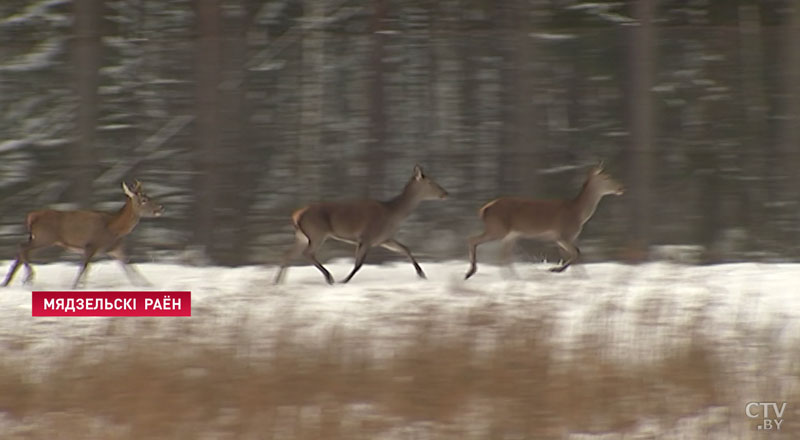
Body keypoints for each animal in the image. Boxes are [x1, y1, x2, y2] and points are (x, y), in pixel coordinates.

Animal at [1, 180, 164, 288]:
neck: (114, 227)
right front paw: (75, 286)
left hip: (39, 237)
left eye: (149, 196)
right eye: (144, 200)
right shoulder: (91, 245)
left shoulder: (115, 248)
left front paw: (147, 285)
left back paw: (9, 282)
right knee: (22, 247)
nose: (160, 207)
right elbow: (83, 269)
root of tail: (31, 216)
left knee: (21, 253)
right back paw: (28, 277)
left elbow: (131, 266)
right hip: (44, 237)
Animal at [276, 165, 450, 286]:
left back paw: (278, 282)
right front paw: (344, 281)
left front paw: (422, 274)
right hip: (317, 233)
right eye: (431, 182)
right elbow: (358, 264)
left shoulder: (383, 238)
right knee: (307, 253)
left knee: (287, 254)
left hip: (302, 236)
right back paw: (329, 277)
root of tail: (296, 215)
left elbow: (405, 248)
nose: (445, 193)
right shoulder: (367, 237)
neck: (393, 213)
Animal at [462, 163, 624, 280]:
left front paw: (580, 276)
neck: (578, 213)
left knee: (503, 255)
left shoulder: (564, 238)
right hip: (497, 228)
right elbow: (576, 253)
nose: (620, 187)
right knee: (472, 239)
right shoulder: (563, 235)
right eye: (606, 177)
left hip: (510, 234)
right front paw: (556, 270)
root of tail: (484, 209)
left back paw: (512, 277)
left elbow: (574, 256)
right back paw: (470, 272)